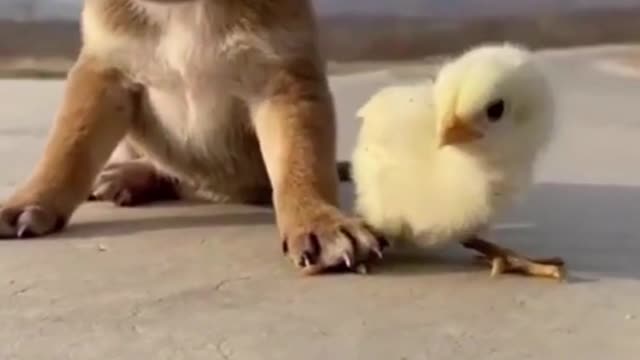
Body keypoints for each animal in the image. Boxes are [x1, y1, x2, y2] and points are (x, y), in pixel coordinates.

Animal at [0, 0, 384, 274]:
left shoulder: (284, 81)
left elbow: (301, 162)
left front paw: (319, 221)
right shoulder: (104, 72)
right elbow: (68, 148)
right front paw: (29, 201)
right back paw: (128, 176)